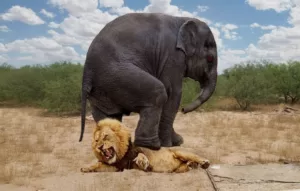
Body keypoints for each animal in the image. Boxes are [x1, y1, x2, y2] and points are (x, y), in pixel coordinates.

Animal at [78, 12, 217, 151]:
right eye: (210, 59)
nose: (183, 110)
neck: (182, 20)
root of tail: (87, 73)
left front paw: (177, 142)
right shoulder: (172, 55)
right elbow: (173, 93)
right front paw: (169, 144)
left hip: (102, 88)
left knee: (109, 115)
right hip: (117, 75)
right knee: (158, 93)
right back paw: (152, 146)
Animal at [81, 118, 210, 173]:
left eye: (105, 136)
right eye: (96, 140)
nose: (99, 147)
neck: (120, 155)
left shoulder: (138, 150)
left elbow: (140, 154)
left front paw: (143, 163)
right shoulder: (118, 167)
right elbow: (99, 165)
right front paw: (86, 168)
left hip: (181, 152)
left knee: (197, 157)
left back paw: (204, 163)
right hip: (178, 169)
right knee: (185, 166)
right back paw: (191, 165)